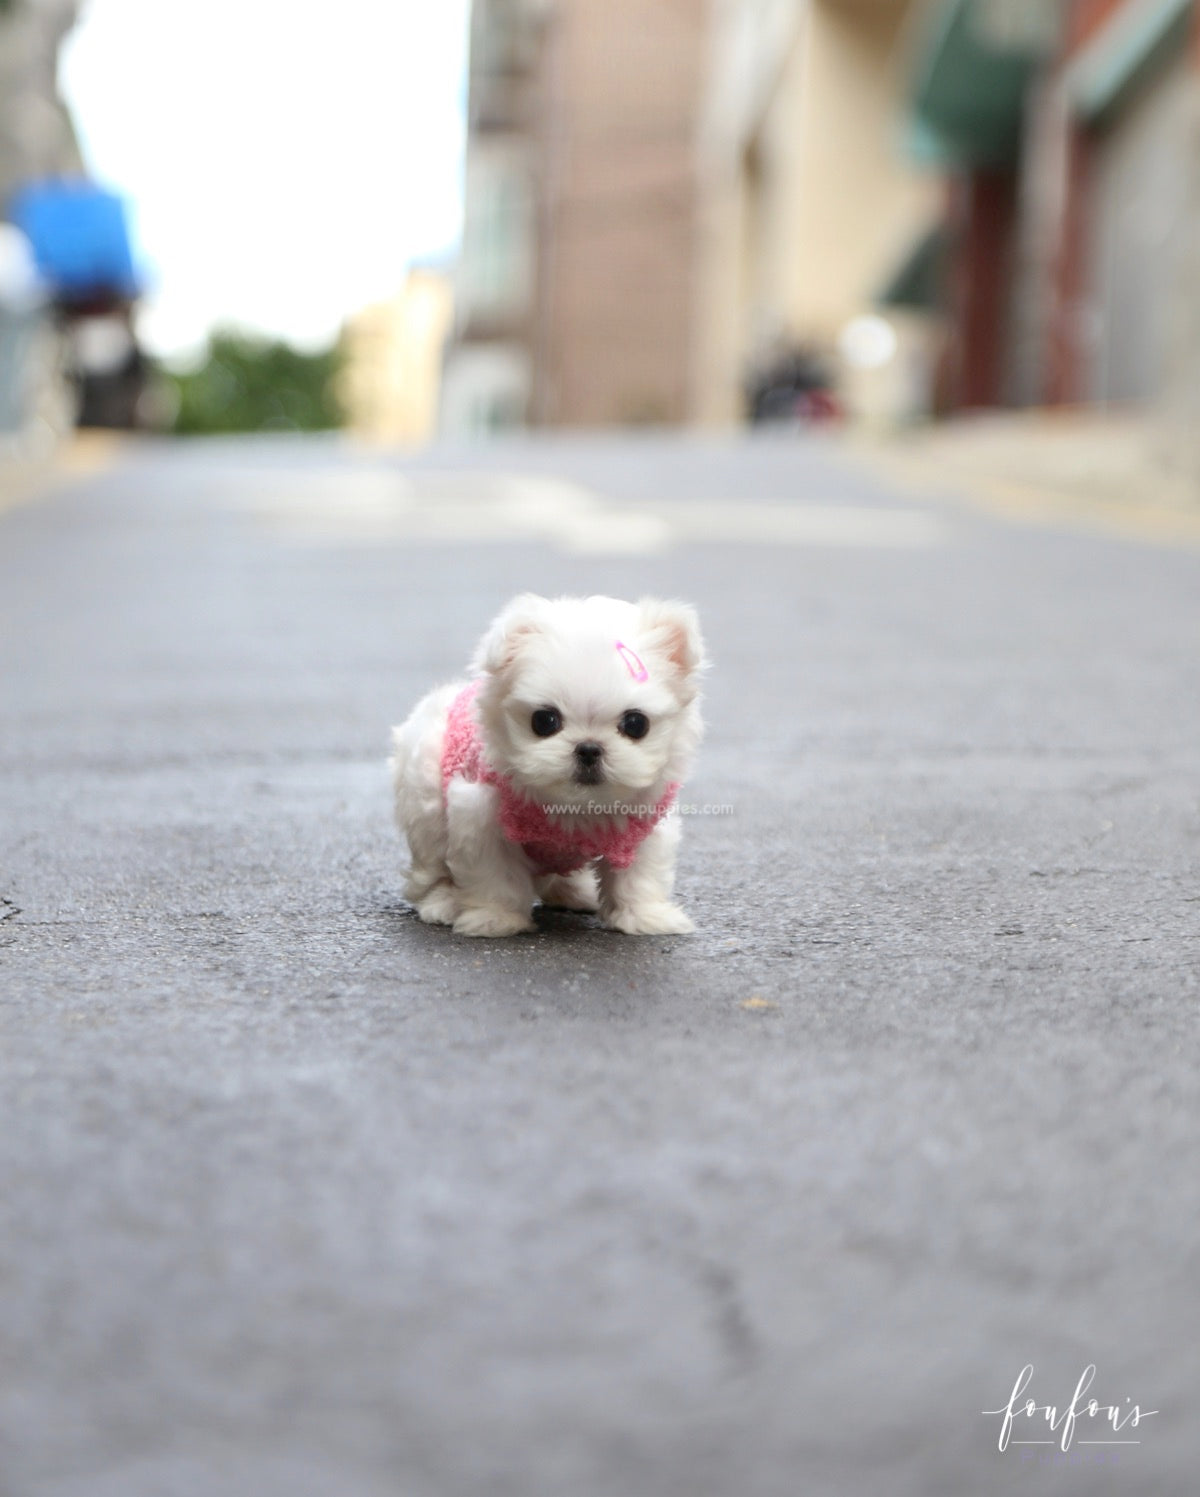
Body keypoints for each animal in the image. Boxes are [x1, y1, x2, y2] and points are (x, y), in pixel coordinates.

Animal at [392, 592, 700, 934]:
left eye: (635, 723)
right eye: (544, 720)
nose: (588, 748)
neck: (576, 808)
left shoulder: (644, 825)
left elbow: (640, 875)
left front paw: (645, 916)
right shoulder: (480, 816)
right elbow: (495, 875)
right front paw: (496, 919)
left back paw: (576, 893)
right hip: (426, 801)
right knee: (430, 868)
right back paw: (443, 902)